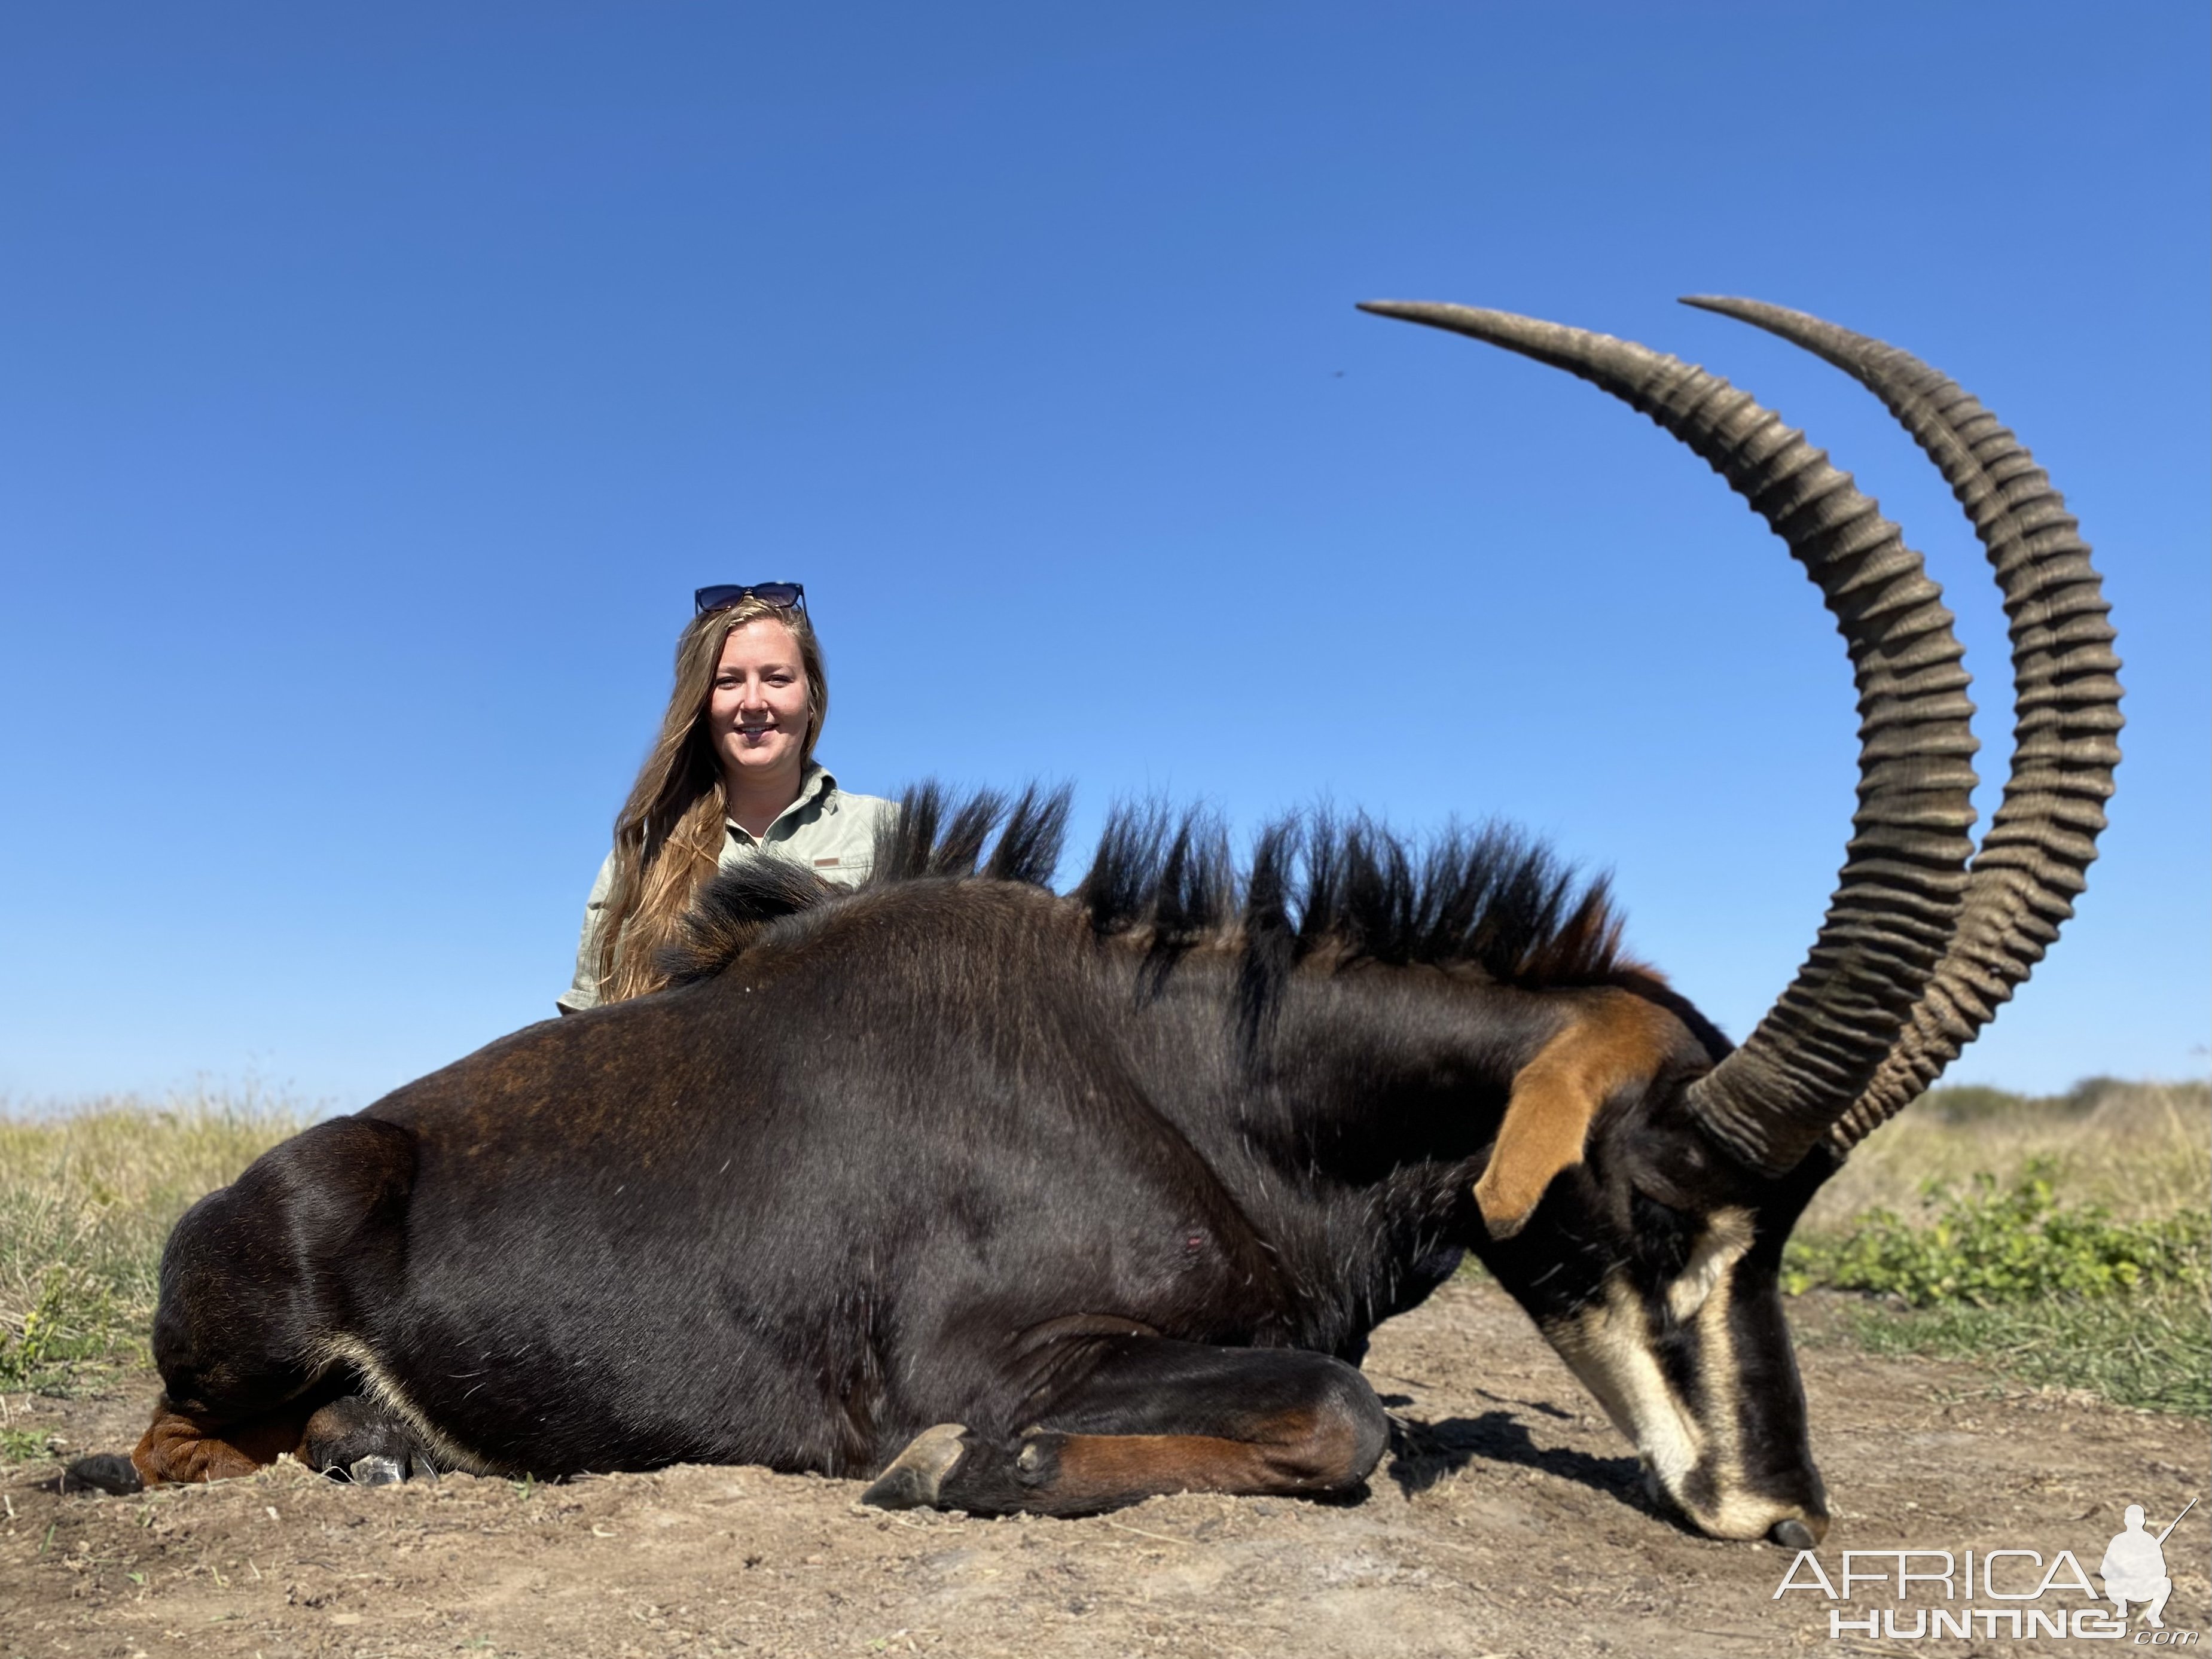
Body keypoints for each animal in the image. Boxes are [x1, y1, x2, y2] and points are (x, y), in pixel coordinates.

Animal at [81, 296, 2123, 1548]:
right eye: (1658, 1207)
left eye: (1780, 1228)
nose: (1783, 1511)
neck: (1194, 1081)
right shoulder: (1007, 1356)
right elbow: (1344, 1418)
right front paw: (942, 1474)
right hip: (246, 1331)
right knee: (171, 1443)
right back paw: (362, 1443)